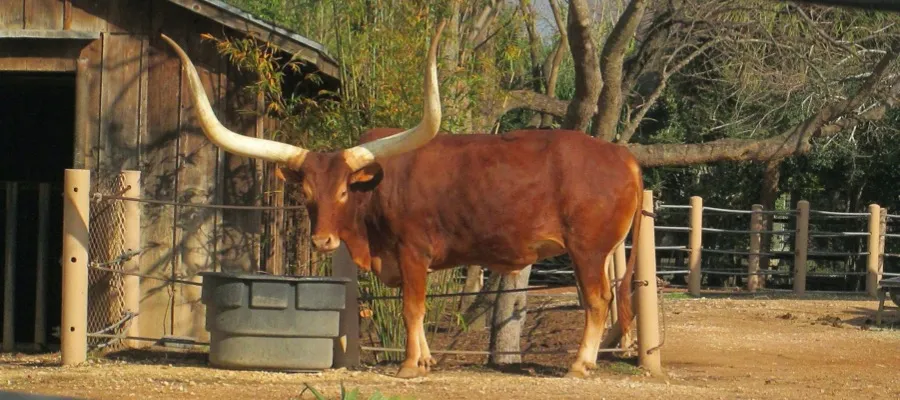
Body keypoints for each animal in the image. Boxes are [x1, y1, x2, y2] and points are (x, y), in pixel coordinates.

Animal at [160, 22, 645, 379]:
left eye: (343, 190)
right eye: (307, 193)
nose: (322, 243)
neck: (374, 192)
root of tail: (620, 154)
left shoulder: (413, 250)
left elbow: (413, 306)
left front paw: (410, 365)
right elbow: (416, 308)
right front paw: (426, 359)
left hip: (587, 250)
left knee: (597, 301)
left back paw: (580, 365)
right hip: (600, 252)